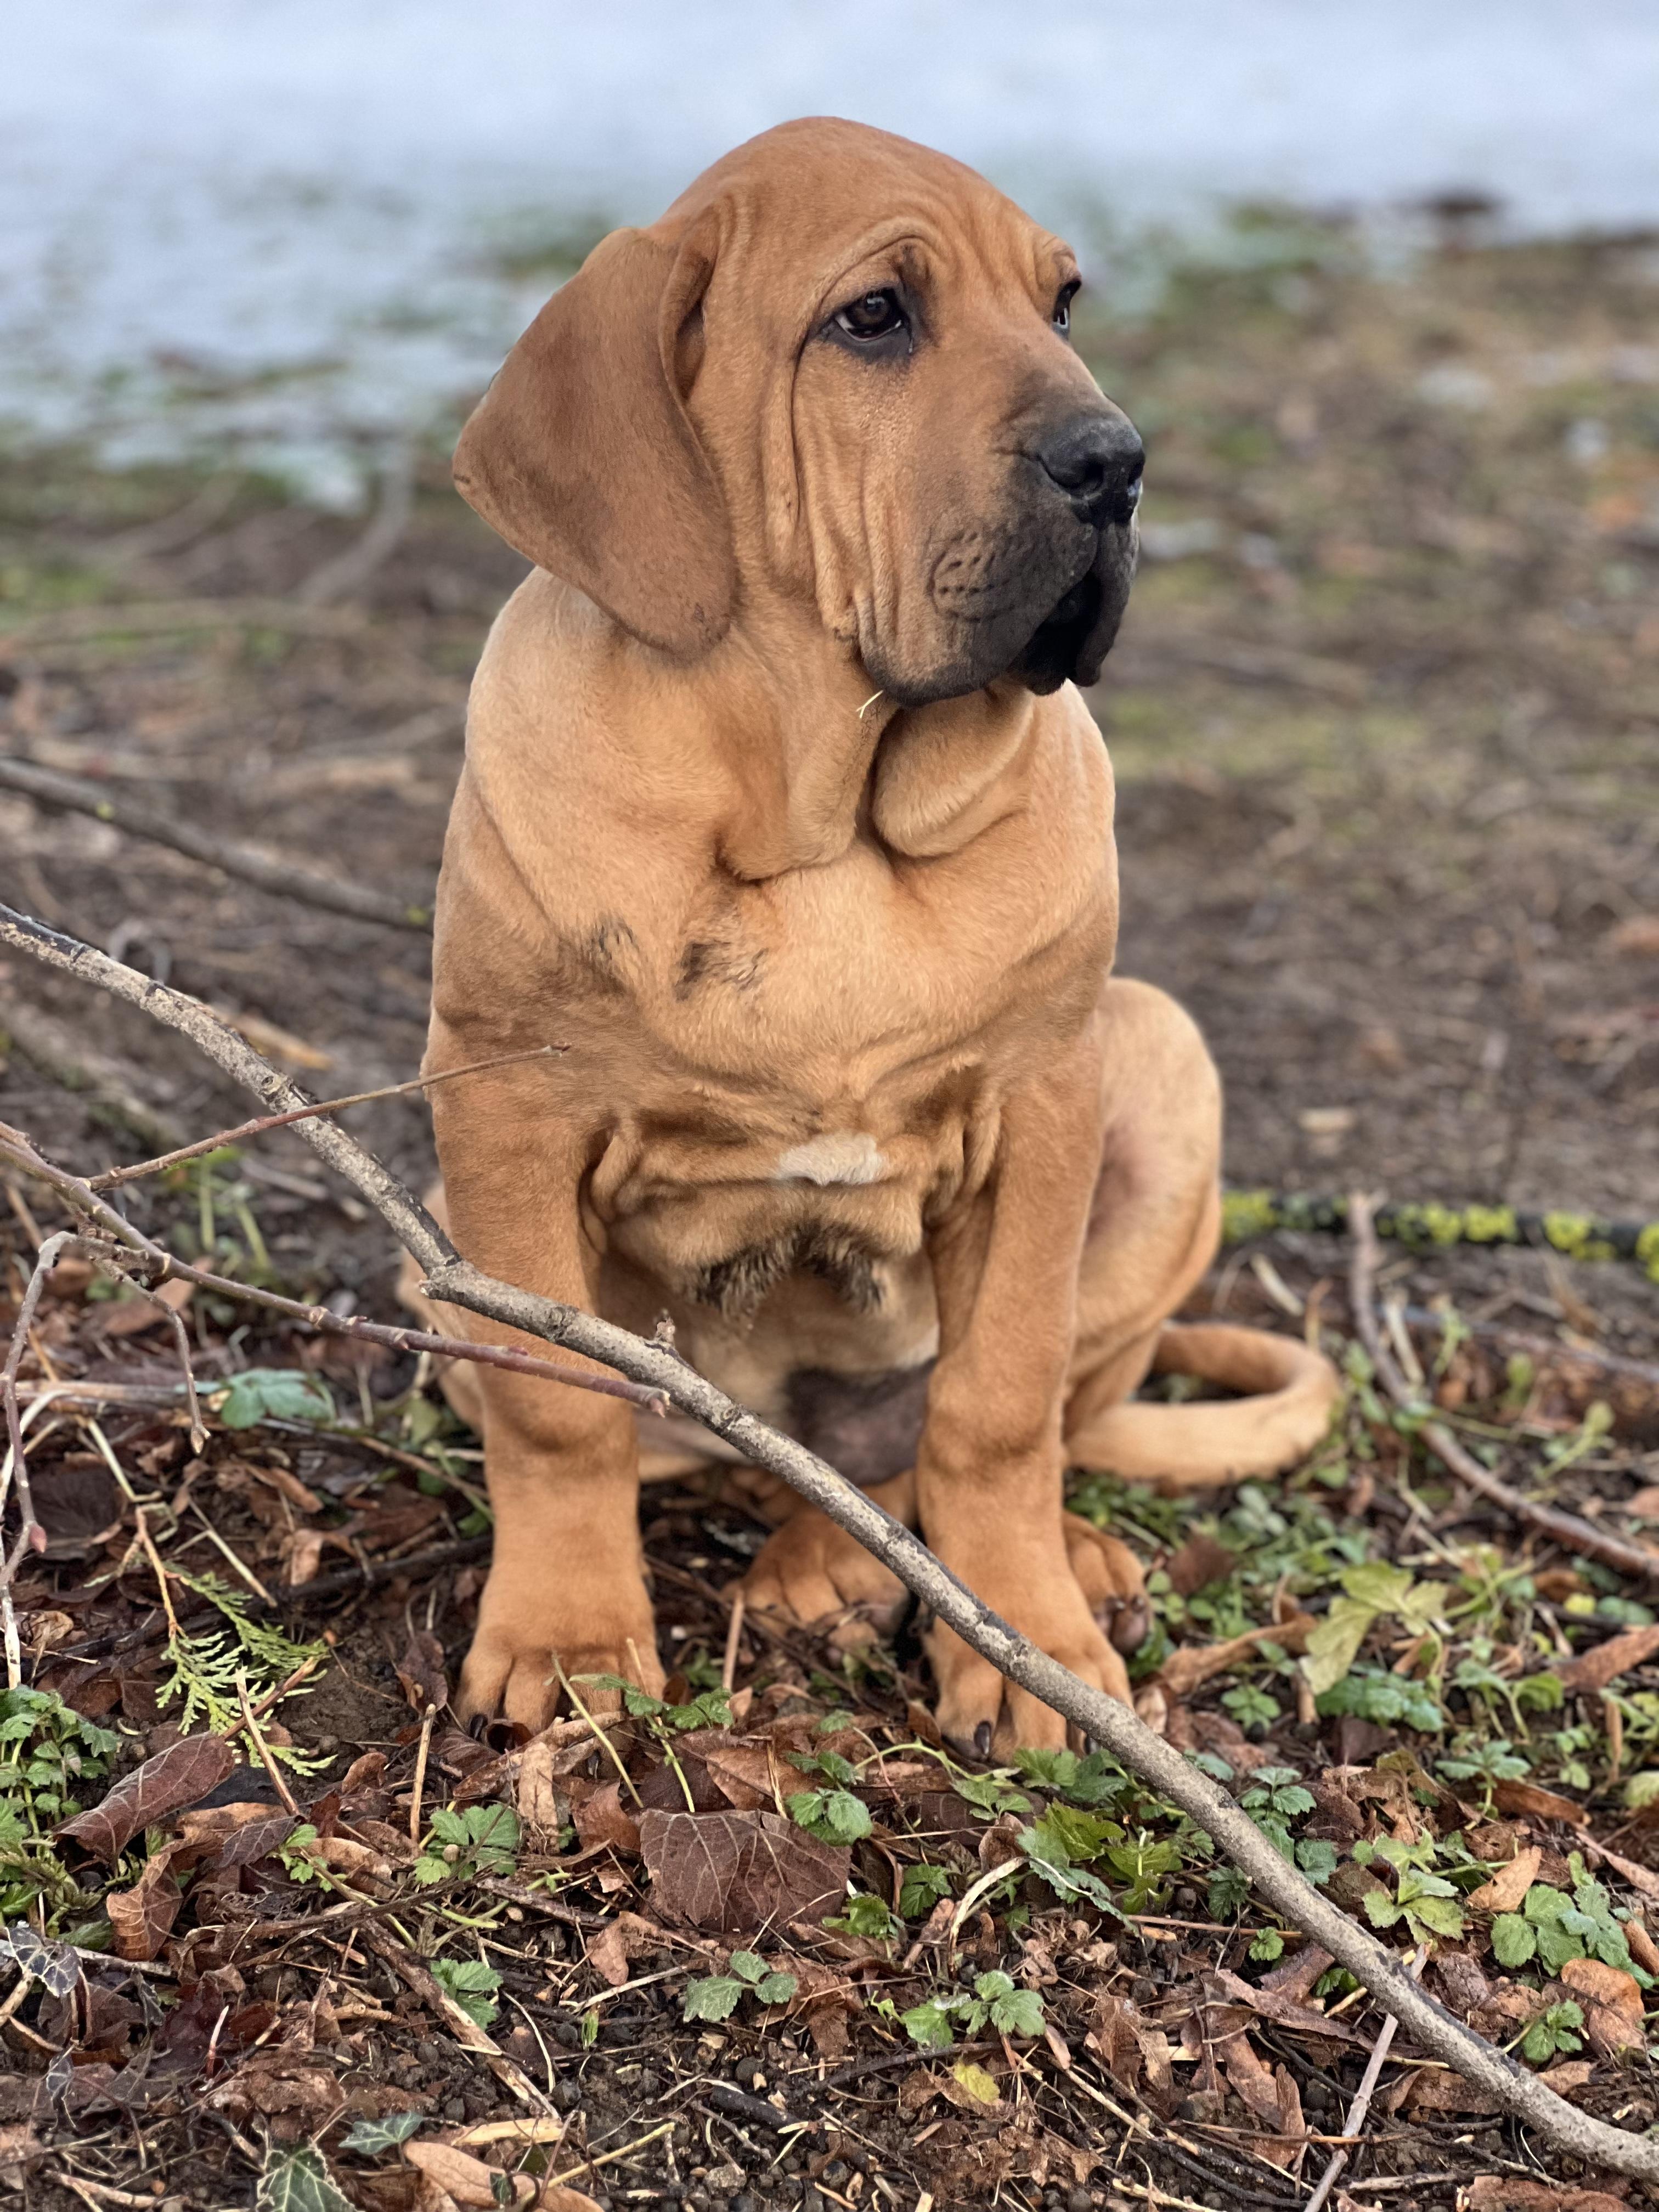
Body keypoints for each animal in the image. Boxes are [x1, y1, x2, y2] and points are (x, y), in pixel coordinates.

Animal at [407, 121, 1353, 1752]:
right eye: (873, 318)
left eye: (1063, 299)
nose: (1118, 465)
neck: (827, 822)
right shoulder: (505, 1104)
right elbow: (553, 1400)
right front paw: (572, 1639)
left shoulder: (1044, 1104)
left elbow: (998, 1406)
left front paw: (1026, 1644)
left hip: (1161, 1063)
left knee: (980, 1436)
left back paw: (966, 1566)